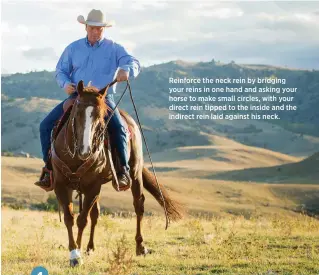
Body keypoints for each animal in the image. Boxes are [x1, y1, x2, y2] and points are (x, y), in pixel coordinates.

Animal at [51, 80, 184, 268]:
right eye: (77, 112)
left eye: (100, 117)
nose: (85, 151)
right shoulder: (61, 185)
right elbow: (70, 218)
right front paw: (75, 253)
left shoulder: (93, 186)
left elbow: (82, 219)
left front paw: (78, 254)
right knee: (96, 214)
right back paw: (90, 247)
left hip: (135, 174)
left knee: (138, 205)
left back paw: (140, 246)